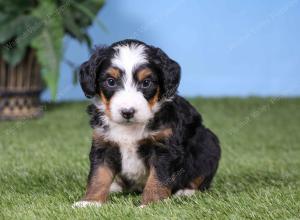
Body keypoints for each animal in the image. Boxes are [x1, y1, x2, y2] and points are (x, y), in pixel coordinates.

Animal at [74, 40, 221, 208]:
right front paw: (90, 201)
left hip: (209, 144)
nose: (127, 112)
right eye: (111, 81)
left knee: (201, 177)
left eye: (146, 83)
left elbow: (157, 178)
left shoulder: (164, 148)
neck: (129, 128)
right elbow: (98, 176)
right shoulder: (103, 144)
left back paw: (186, 191)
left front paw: (150, 203)